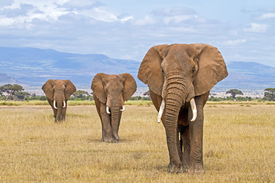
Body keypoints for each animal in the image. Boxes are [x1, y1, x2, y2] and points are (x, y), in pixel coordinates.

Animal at [138, 43, 229, 174]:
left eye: (193, 70)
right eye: (162, 71)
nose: (179, 165)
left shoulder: (199, 83)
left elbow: (195, 117)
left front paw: (196, 172)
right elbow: (169, 120)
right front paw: (174, 170)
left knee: (187, 129)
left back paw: (186, 166)